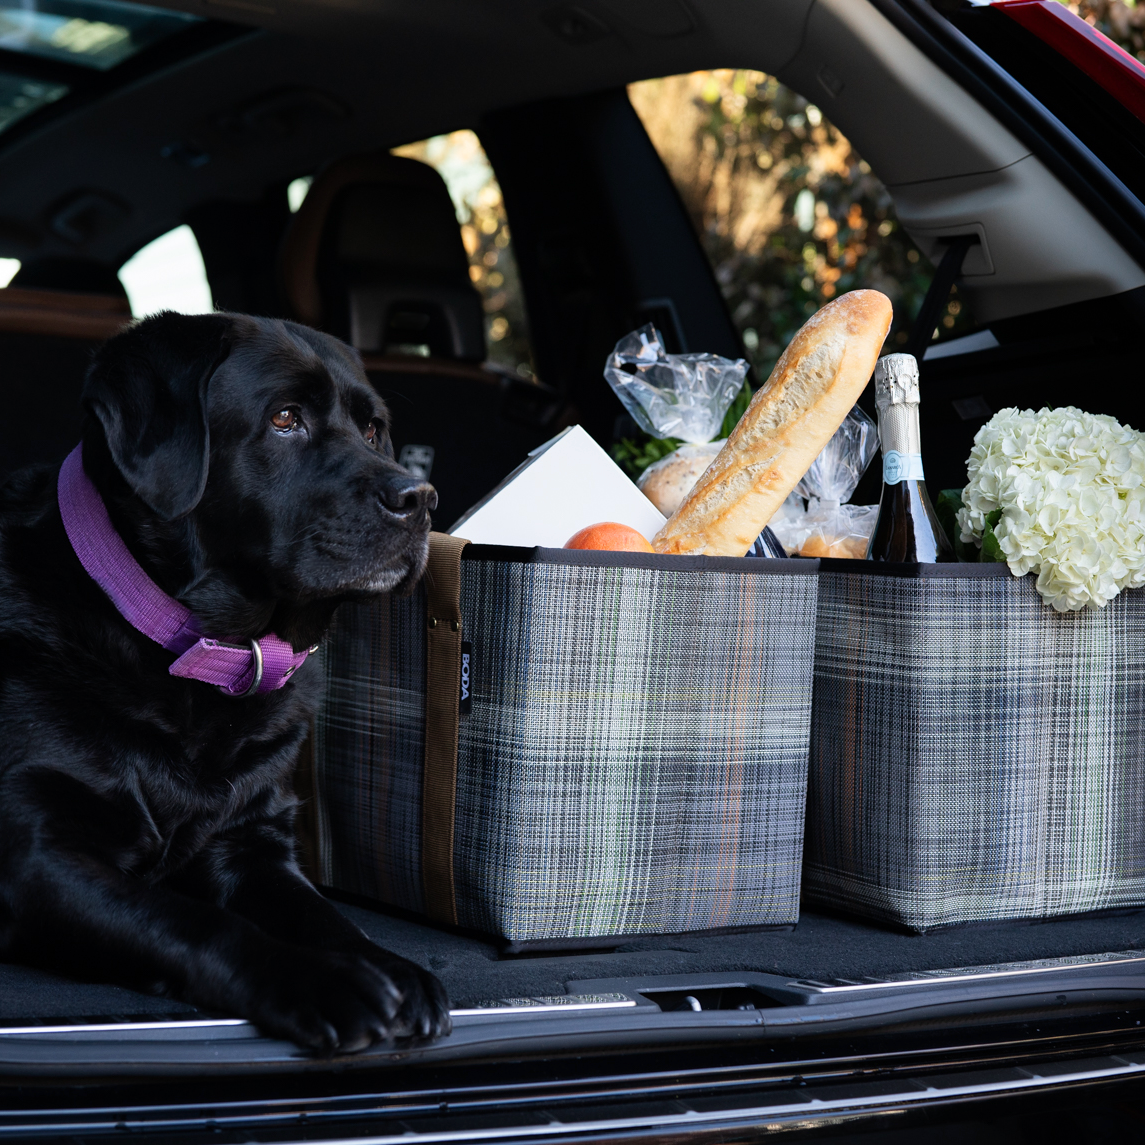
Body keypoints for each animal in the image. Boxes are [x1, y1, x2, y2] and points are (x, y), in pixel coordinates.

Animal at [0, 309, 451, 1048]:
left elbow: (325, 915)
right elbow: (192, 922)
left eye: (373, 429)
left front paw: (392, 967)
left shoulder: (250, 841)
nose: (419, 498)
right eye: (285, 418)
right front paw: (326, 980)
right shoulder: (35, 853)